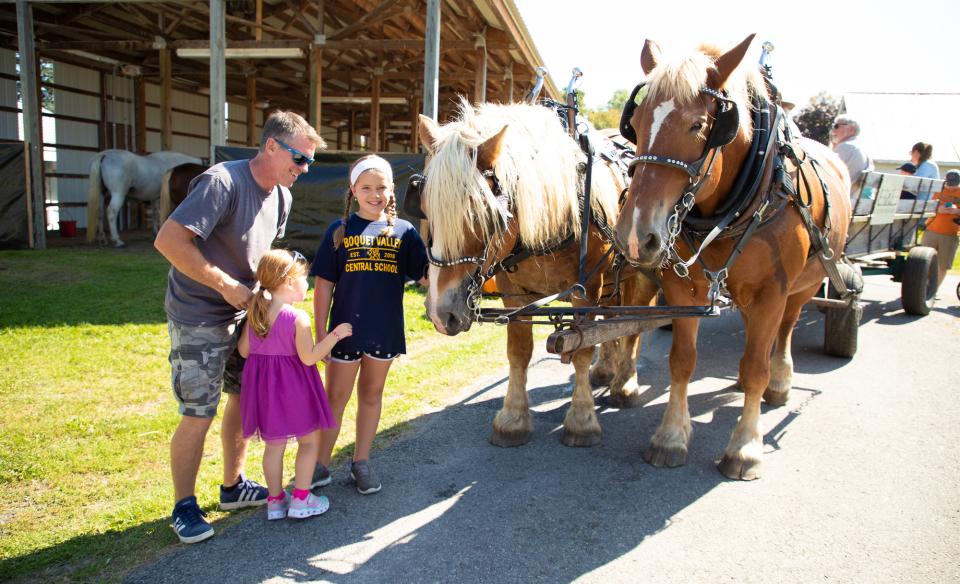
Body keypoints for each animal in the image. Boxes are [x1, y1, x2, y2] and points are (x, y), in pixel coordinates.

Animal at [420, 100, 660, 448]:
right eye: (426, 209)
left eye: (483, 214)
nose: (441, 314)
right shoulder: (513, 293)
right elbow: (518, 352)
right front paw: (513, 418)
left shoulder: (587, 289)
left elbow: (583, 347)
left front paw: (582, 419)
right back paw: (606, 369)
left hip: (642, 272)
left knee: (635, 325)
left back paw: (625, 381)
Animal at [612, 34, 852, 476]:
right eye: (634, 125)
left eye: (699, 126)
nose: (636, 236)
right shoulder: (683, 290)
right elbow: (682, 360)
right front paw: (671, 436)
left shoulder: (772, 291)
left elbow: (757, 364)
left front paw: (744, 445)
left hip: (804, 284)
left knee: (785, 328)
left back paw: (779, 381)